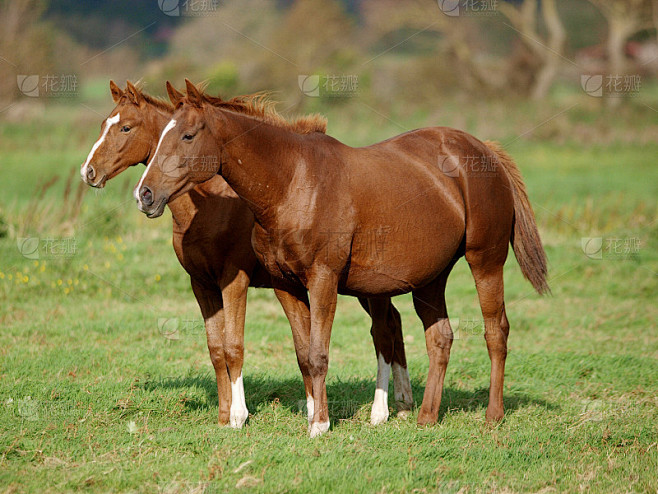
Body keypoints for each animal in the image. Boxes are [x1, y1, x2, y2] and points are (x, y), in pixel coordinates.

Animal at [80, 81, 413, 429]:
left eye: (126, 127)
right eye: (104, 125)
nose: (88, 172)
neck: (212, 205)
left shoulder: (234, 279)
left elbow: (233, 346)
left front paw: (239, 416)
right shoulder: (202, 283)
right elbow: (216, 349)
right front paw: (223, 415)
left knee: (383, 330)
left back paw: (385, 410)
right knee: (394, 322)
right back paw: (403, 403)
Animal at [135, 79, 549, 437]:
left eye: (188, 135)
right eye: (160, 135)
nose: (145, 194)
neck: (294, 183)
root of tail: (485, 151)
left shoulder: (323, 281)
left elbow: (319, 353)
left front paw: (319, 425)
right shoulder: (286, 287)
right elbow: (304, 355)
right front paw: (315, 415)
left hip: (485, 263)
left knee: (495, 332)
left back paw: (492, 415)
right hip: (431, 278)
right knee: (440, 338)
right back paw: (426, 417)